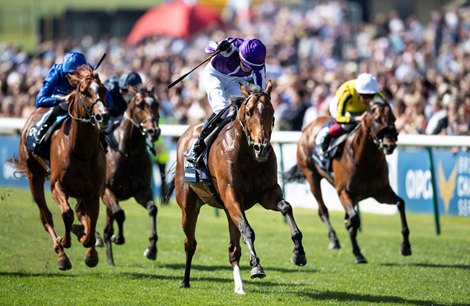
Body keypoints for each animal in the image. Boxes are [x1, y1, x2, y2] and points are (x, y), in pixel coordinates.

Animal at [11, 65, 110, 270]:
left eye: (103, 90)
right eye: (84, 91)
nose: (103, 116)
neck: (81, 152)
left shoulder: (93, 192)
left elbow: (91, 220)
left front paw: (90, 251)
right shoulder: (57, 185)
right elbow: (67, 213)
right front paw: (65, 241)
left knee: (80, 213)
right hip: (34, 176)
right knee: (46, 216)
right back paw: (61, 255)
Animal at [98, 84, 161, 266]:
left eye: (157, 104)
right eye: (139, 105)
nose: (153, 131)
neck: (128, 152)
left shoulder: (142, 191)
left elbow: (152, 209)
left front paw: (151, 249)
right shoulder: (106, 191)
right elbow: (120, 214)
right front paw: (118, 237)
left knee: (107, 227)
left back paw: (109, 258)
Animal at [163, 80, 306, 294]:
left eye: (272, 112)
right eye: (248, 112)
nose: (262, 148)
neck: (248, 155)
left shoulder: (267, 193)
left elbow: (286, 207)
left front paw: (298, 252)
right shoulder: (232, 195)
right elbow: (248, 230)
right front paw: (256, 266)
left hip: (229, 211)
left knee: (233, 249)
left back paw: (239, 286)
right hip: (189, 206)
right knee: (190, 243)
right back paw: (185, 281)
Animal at [282, 100, 412, 262]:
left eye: (394, 119)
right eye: (377, 120)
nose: (390, 145)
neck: (366, 161)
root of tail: (308, 127)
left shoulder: (381, 193)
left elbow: (401, 203)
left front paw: (405, 246)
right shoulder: (343, 192)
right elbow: (354, 219)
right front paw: (358, 253)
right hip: (311, 176)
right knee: (322, 210)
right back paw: (334, 240)